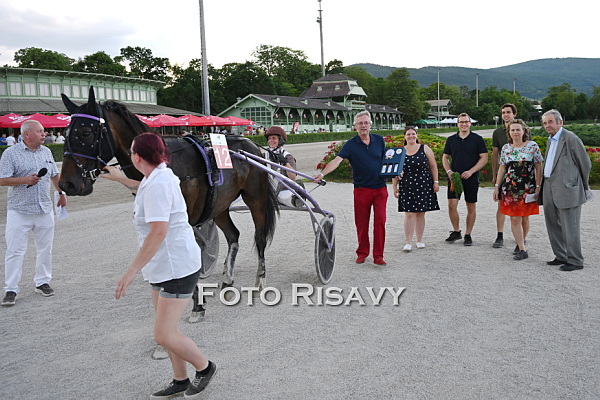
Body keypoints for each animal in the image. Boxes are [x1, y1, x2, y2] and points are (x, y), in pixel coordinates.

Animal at [58, 87, 279, 319]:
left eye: (85, 132)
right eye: (65, 133)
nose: (67, 183)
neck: (162, 164)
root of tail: (252, 145)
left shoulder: (184, 218)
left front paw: (196, 305)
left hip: (255, 197)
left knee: (260, 237)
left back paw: (260, 280)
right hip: (219, 205)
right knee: (233, 235)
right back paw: (227, 278)